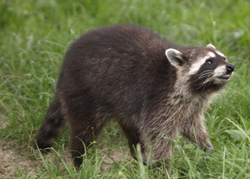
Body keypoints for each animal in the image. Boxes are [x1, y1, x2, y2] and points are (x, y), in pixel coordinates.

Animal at [35, 24, 234, 170]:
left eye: (223, 57)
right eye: (209, 62)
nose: (230, 66)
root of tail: (65, 71)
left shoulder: (190, 106)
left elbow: (191, 126)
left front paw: (206, 147)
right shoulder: (159, 101)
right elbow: (159, 135)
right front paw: (164, 166)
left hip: (125, 106)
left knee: (132, 131)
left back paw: (139, 155)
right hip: (84, 95)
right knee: (84, 131)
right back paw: (79, 162)